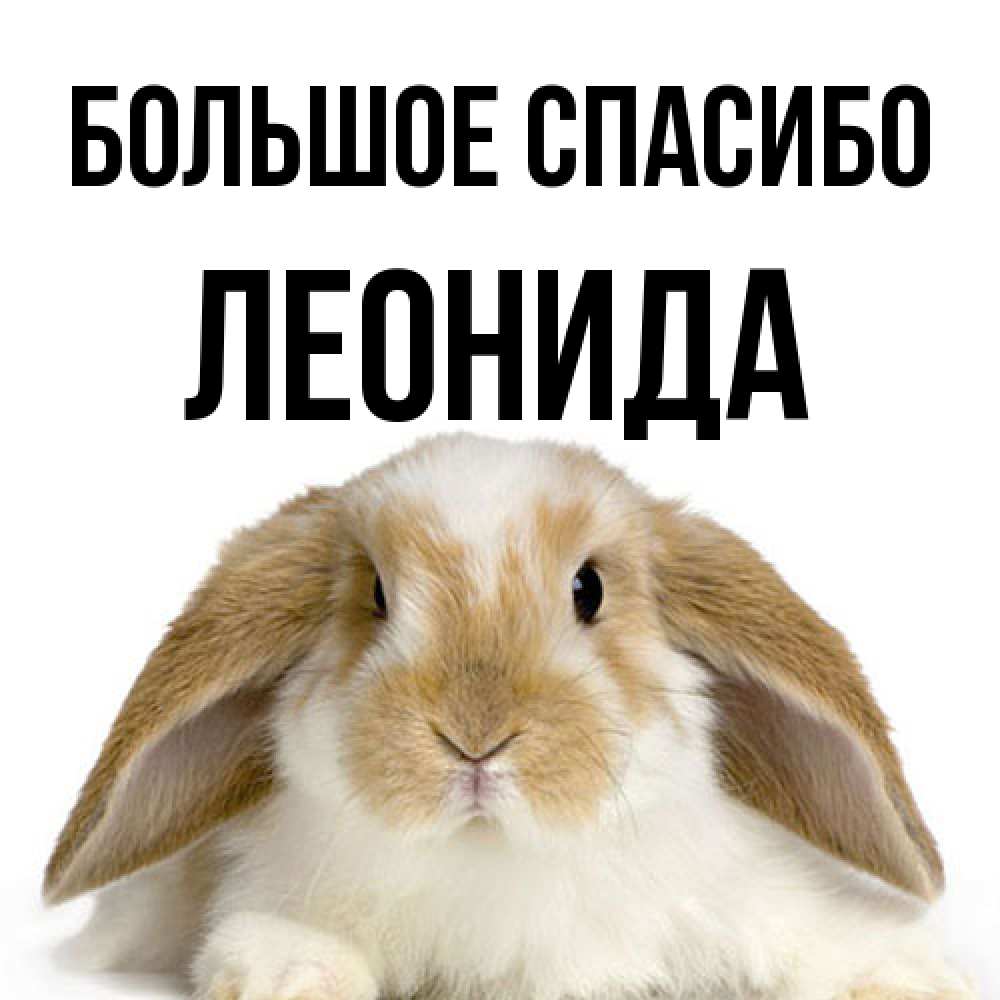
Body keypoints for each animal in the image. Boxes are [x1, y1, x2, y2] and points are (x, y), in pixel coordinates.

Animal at [45, 434, 975, 1000]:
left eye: (589, 589)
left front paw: (910, 977)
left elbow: (816, 937)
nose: (475, 737)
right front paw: (292, 976)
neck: (495, 857)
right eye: (376, 595)